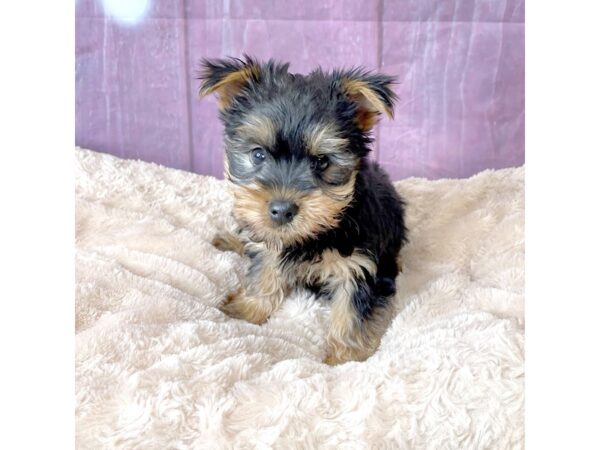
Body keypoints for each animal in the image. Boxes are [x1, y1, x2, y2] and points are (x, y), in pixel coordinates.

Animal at [197, 57, 408, 366]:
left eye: (321, 162)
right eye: (258, 154)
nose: (282, 210)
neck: (315, 233)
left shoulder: (360, 266)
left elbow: (351, 312)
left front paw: (343, 358)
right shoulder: (272, 243)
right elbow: (265, 270)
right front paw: (249, 308)